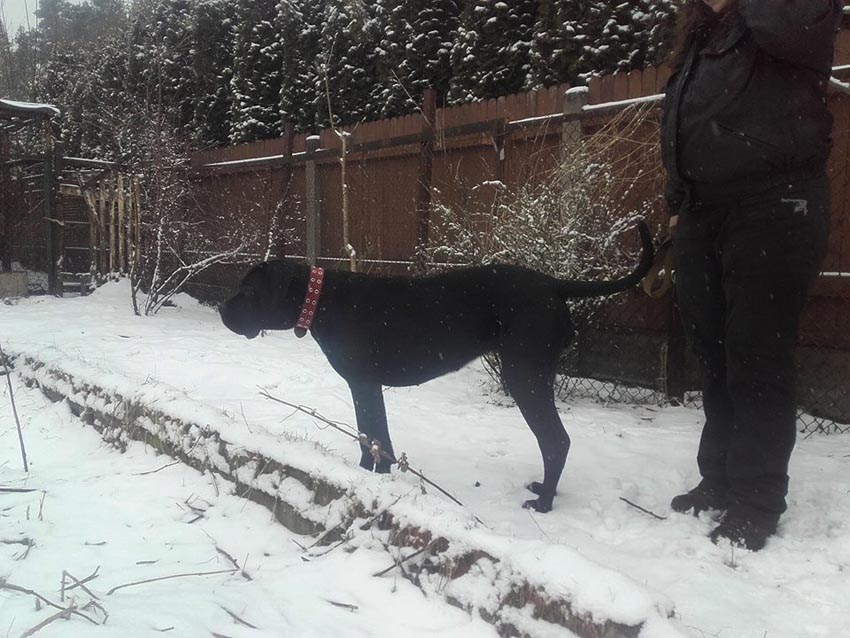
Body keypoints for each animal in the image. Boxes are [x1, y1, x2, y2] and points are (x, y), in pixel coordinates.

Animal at [220, 222, 653, 512]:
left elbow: (371, 434)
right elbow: (373, 435)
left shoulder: (364, 383)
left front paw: (370, 475)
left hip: (523, 375)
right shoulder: (366, 386)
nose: (223, 309)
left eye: (250, 291)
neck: (322, 299)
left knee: (556, 440)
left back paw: (545, 502)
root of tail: (551, 283)